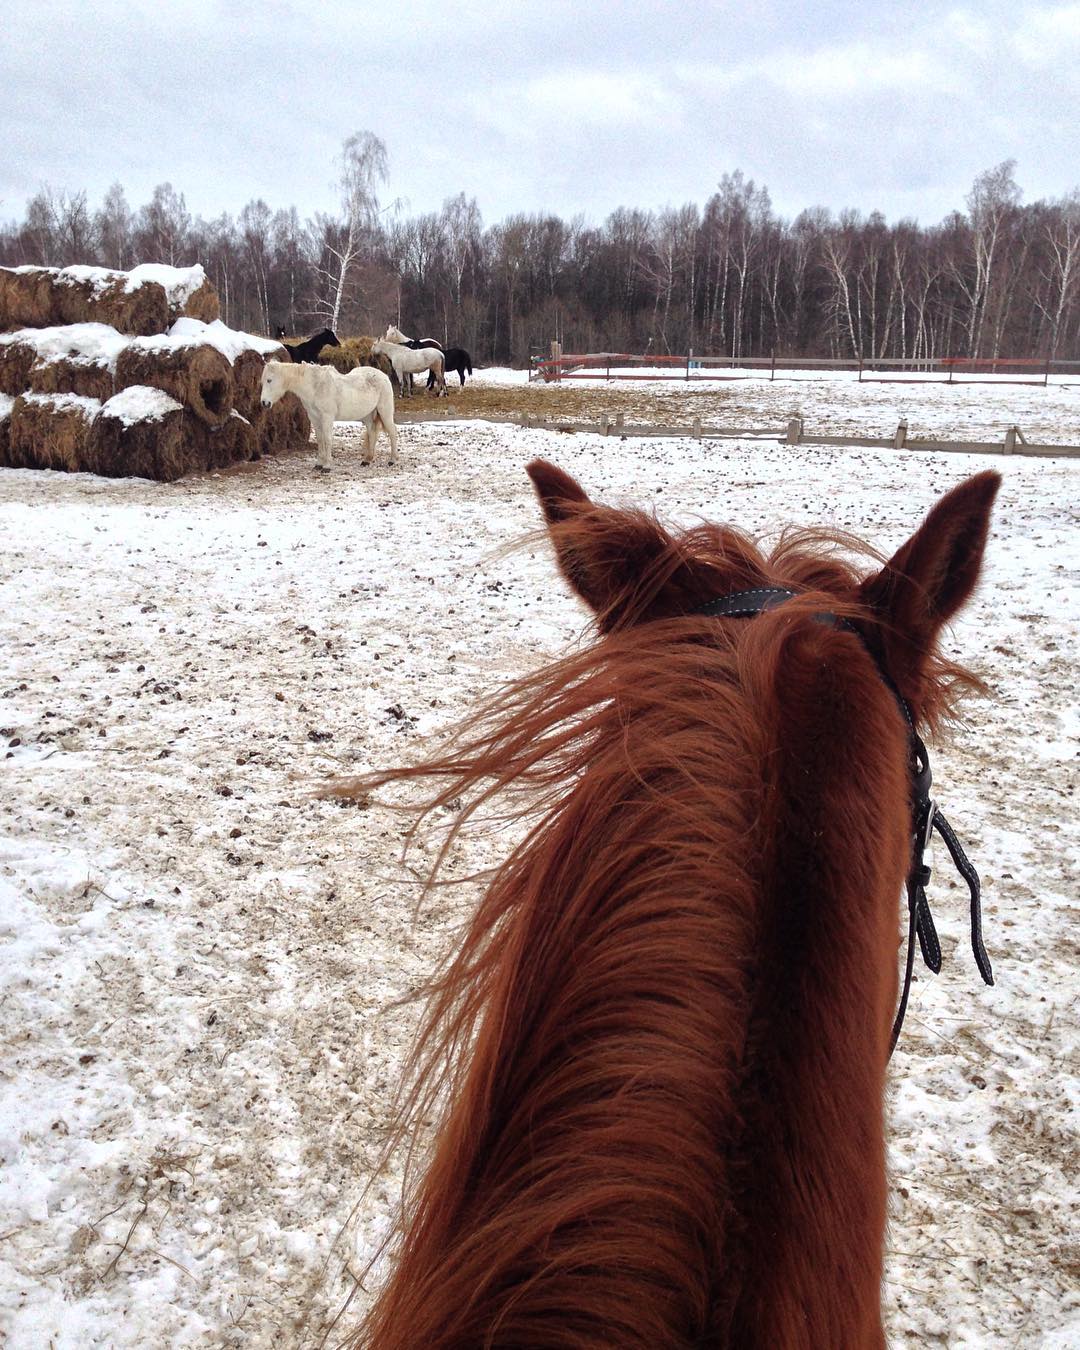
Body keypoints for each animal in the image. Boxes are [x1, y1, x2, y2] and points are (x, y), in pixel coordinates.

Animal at [259, 361, 399, 472]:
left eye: (269, 380)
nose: (264, 403)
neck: (315, 387)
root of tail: (384, 376)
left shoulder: (327, 418)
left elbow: (327, 439)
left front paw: (327, 466)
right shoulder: (315, 418)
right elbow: (320, 440)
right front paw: (319, 464)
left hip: (385, 412)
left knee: (392, 432)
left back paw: (393, 460)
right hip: (368, 416)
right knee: (372, 433)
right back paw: (367, 460)